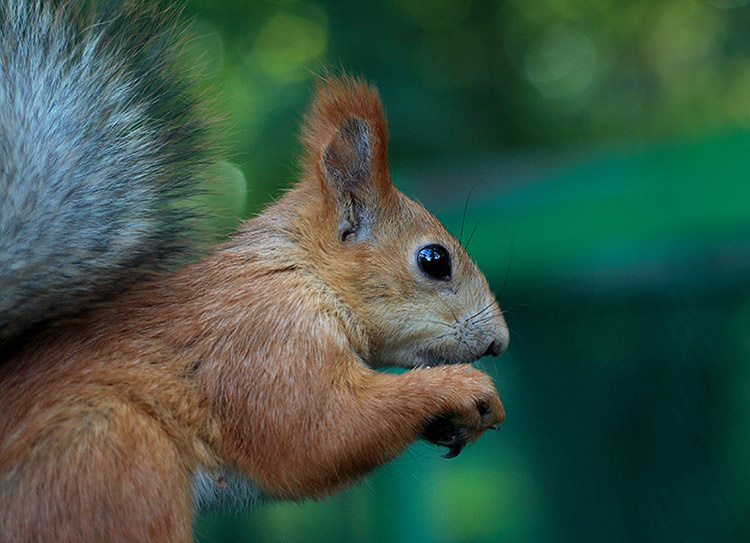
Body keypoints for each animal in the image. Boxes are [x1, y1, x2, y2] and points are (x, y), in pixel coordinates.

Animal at [0, 1, 509, 542]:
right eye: (434, 261)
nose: (500, 342)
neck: (302, 273)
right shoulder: (264, 338)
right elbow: (320, 431)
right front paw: (460, 387)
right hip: (112, 458)